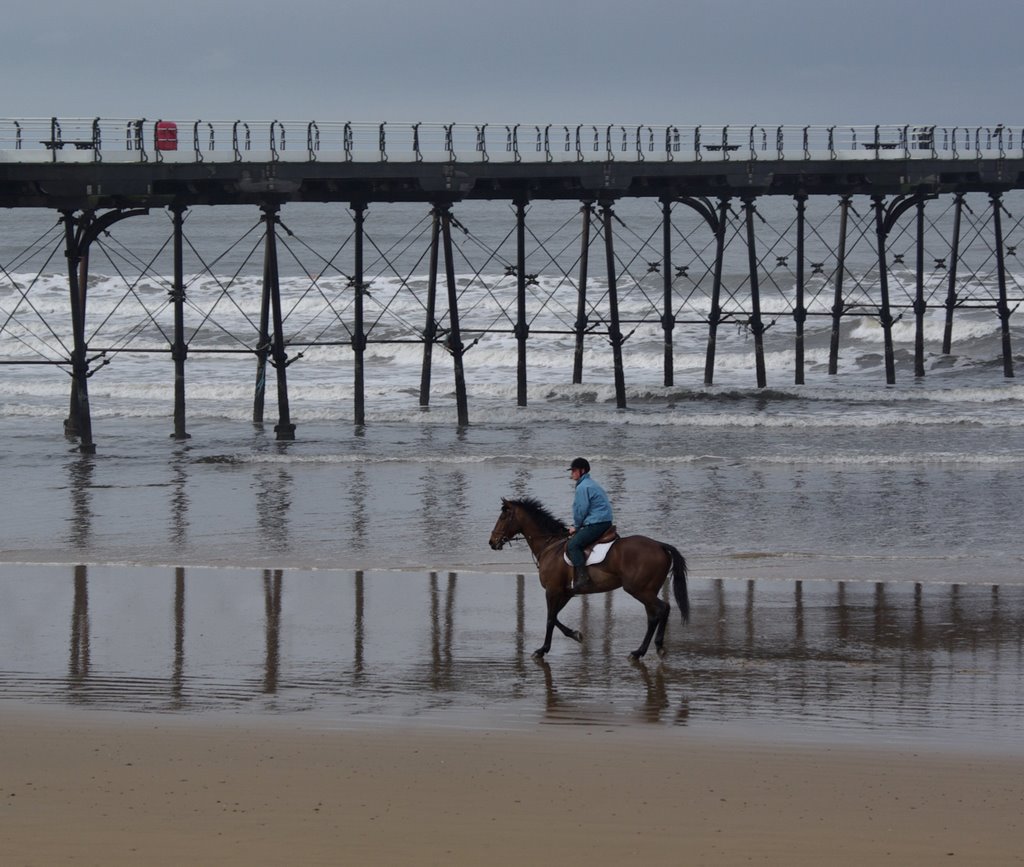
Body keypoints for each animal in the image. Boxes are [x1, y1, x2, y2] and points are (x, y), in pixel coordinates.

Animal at [487, 497, 688, 659]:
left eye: (503, 517)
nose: (492, 542)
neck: (550, 546)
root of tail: (660, 545)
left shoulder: (552, 591)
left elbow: (550, 619)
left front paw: (542, 649)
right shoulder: (565, 593)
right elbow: (555, 616)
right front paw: (575, 634)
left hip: (639, 590)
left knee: (662, 609)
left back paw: (647, 649)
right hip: (647, 590)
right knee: (655, 614)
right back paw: (646, 649)